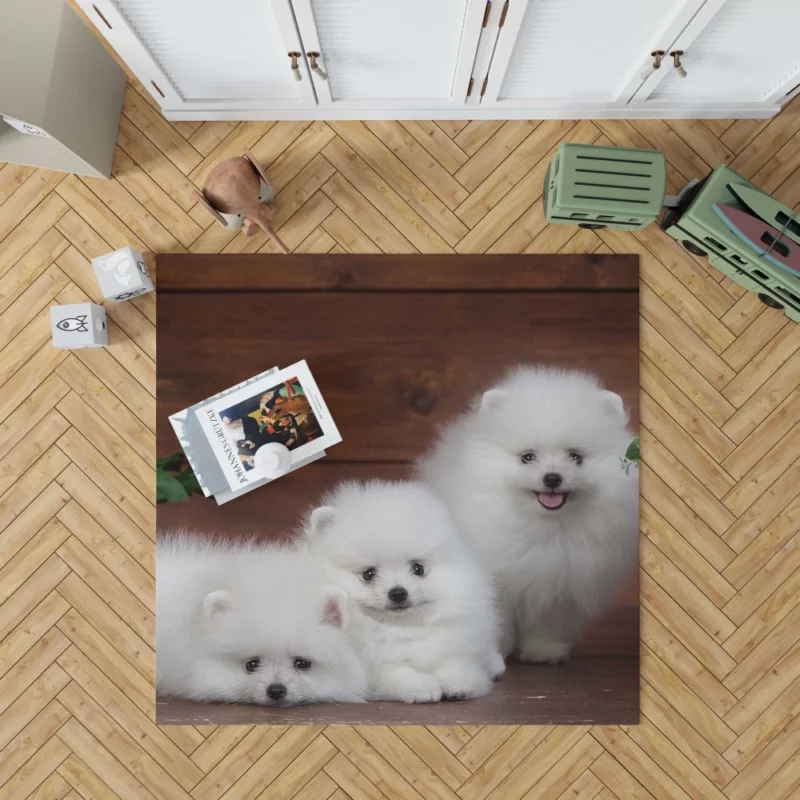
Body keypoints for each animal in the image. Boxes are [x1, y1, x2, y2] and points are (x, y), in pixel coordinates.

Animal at [304, 482, 504, 700]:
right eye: (368, 574)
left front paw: (459, 684)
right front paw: (423, 687)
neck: (400, 629)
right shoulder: (371, 669)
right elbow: (397, 673)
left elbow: (457, 663)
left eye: (418, 569)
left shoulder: (454, 643)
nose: (398, 593)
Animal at [418, 366, 636, 664]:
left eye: (576, 457)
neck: (547, 527)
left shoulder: (561, 587)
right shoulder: (498, 581)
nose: (552, 478)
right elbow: (497, 619)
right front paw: (496, 650)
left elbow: (548, 623)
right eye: (527, 457)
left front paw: (544, 651)